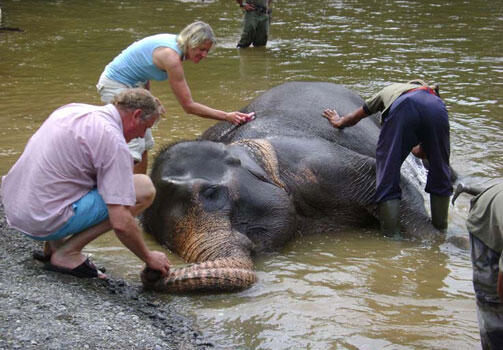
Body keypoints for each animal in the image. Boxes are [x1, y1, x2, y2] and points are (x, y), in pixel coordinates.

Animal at [141, 81, 448, 292]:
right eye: (163, 242)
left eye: (211, 194)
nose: (155, 270)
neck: (236, 146)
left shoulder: (315, 164)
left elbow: (382, 180)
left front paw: (441, 245)